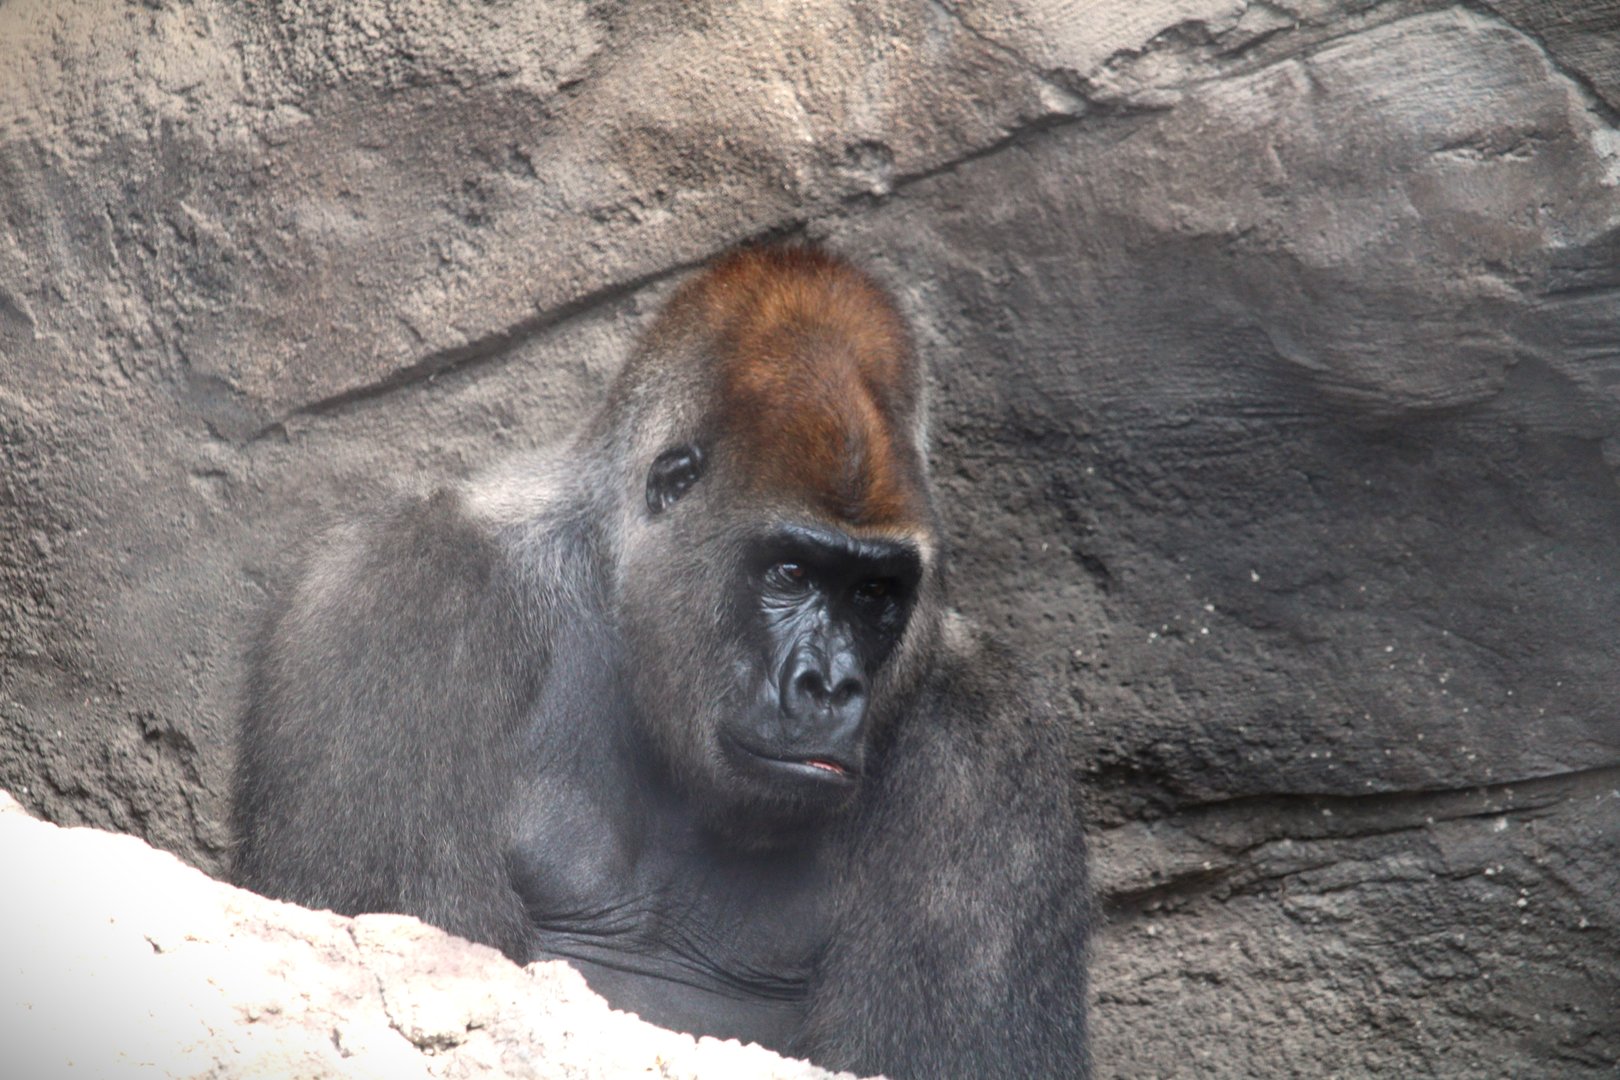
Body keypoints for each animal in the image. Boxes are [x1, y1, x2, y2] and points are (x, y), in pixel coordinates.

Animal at [231, 246, 1091, 1078]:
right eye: (790, 573)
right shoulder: (394, 599)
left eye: (875, 594)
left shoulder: (988, 747)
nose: (830, 686)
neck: (618, 592)